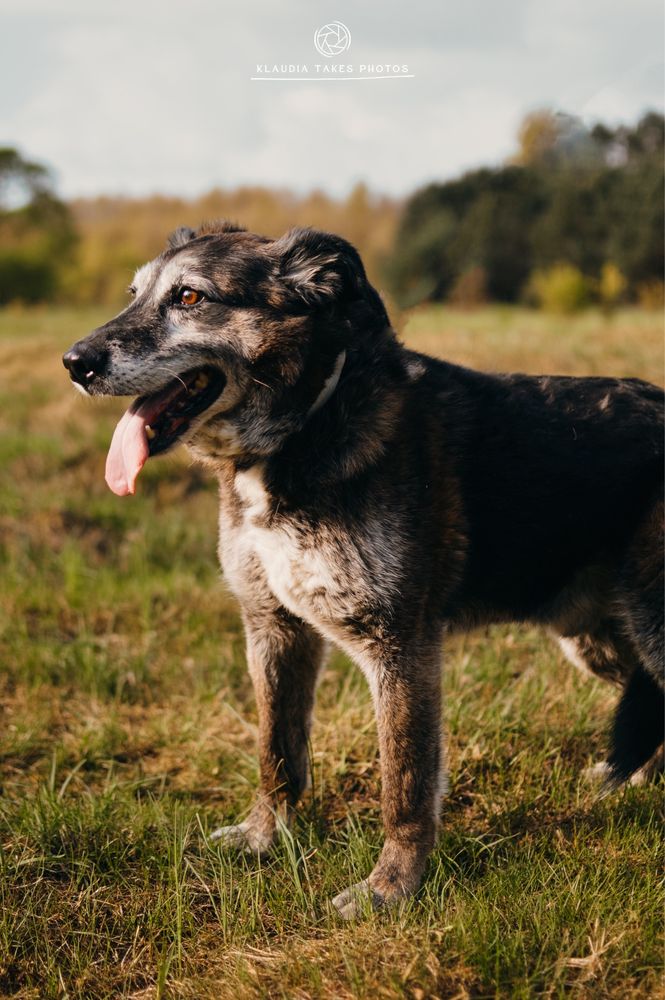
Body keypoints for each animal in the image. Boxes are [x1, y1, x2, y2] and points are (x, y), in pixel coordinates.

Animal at [63, 223, 664, 916]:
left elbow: (405, 786)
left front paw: (391, 891)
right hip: (598, 637)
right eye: (134, 294)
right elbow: (277, 753)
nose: (74, 363)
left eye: (189, 297)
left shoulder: (400, 648)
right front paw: (264, 838)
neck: (305, 428)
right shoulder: (274, 629)